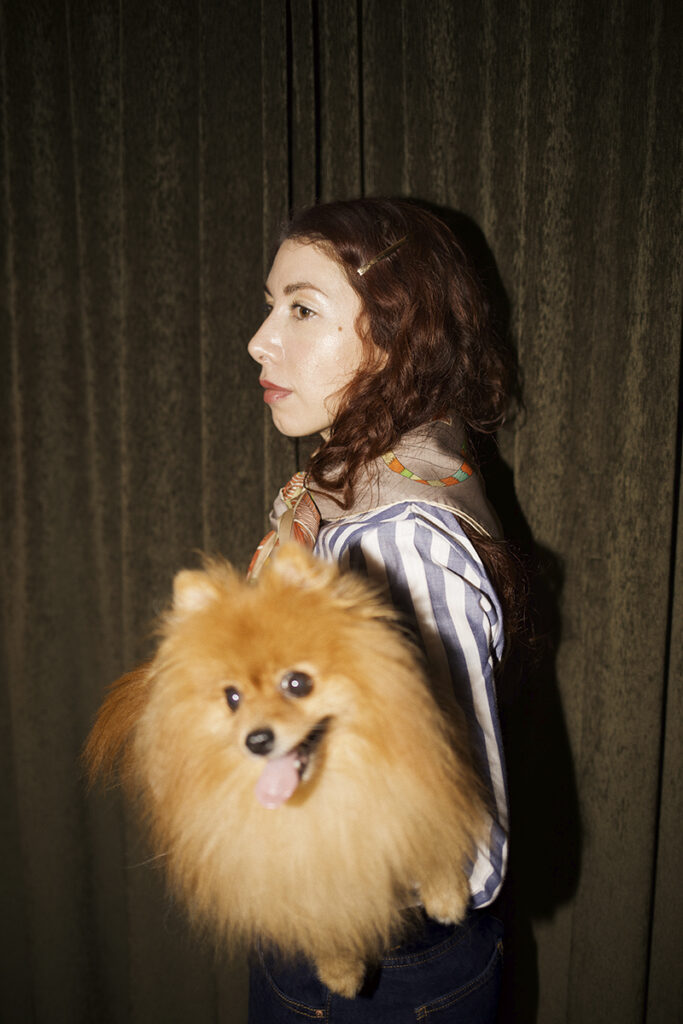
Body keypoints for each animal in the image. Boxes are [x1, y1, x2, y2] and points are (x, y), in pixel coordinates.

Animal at [85, 548, 489, 995]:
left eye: (297, 683)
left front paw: (446, 896)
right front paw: (340, 970)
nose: (257, 739)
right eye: (232, 698)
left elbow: (431, 832)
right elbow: (324, 916)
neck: (326, 794)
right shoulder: (288, 872)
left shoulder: (422, 777)